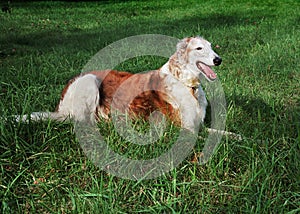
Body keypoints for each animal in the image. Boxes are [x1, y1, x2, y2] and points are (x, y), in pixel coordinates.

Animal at [16, 36, 223, 134]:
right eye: (199, 48)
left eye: (212, 47)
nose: (219, 60)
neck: (187, 84)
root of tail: (61, 107)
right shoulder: (184, 128)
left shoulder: (198, 125)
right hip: (89, 81)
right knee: (84, 123)